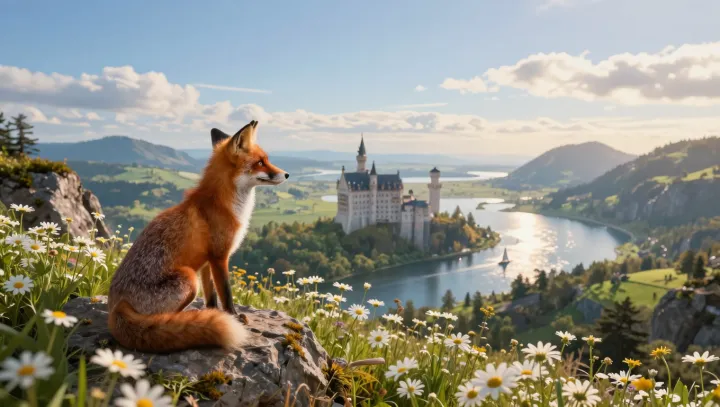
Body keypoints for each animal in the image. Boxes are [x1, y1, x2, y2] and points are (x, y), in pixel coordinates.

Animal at [108, 120, 288, 353]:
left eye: (267, 160)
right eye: (260, 162)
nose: (287, 174)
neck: (226, 206)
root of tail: (116, 306)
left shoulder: (206, 261)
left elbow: (212, 295)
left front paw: (213, 313)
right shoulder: (220, 257)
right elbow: (226, 292)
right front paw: (232, 316)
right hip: (188, 278)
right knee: (160, 319)